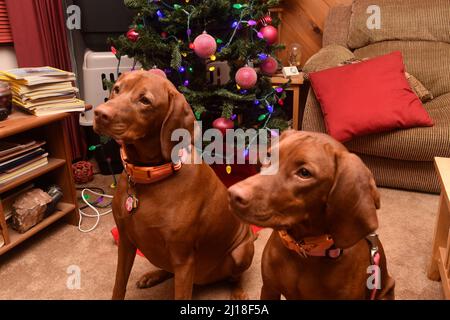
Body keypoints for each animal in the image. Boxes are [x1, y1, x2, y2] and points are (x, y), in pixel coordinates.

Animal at [93, 70, 255, 300]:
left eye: (145, 100)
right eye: (116, 88)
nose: (99, 113)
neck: (150, 176)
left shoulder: (183, 259)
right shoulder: (125, 243)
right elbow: (118, 285)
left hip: (241, 252)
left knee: (235, 277)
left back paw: (238, 293)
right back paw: (153, 275)